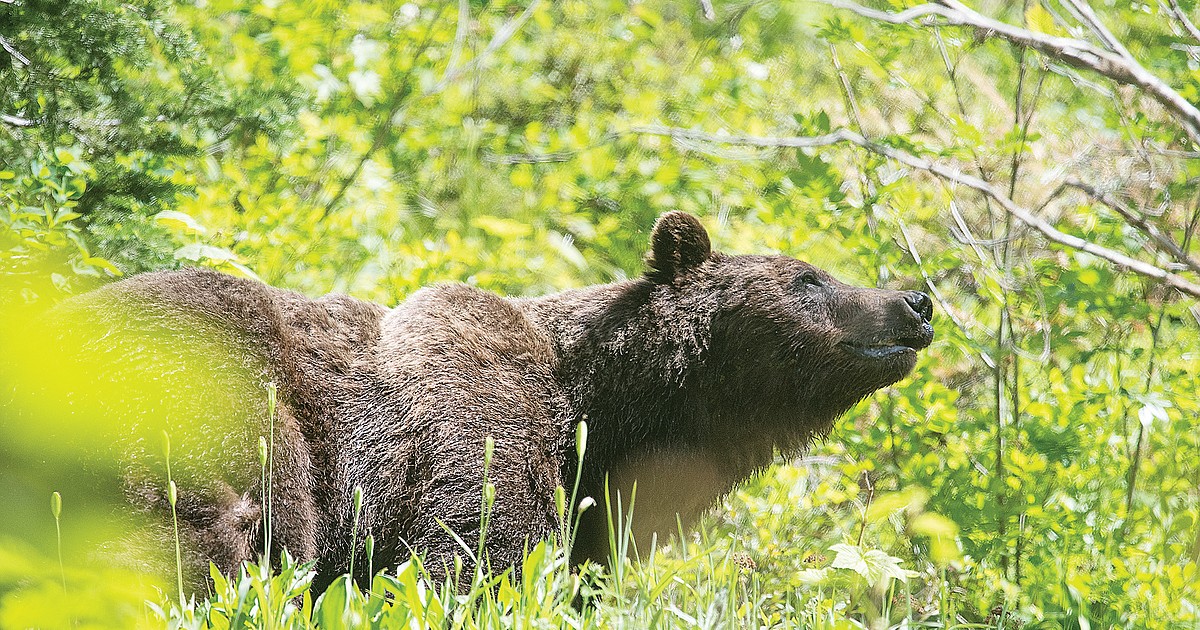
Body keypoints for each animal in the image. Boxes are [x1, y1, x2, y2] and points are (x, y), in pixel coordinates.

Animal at [50, 210, 933, 592]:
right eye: (808, 278)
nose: (916, 301)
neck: (602, 410)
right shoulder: (471, 427)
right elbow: (474, 558)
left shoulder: (593, 506)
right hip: (209, 395)